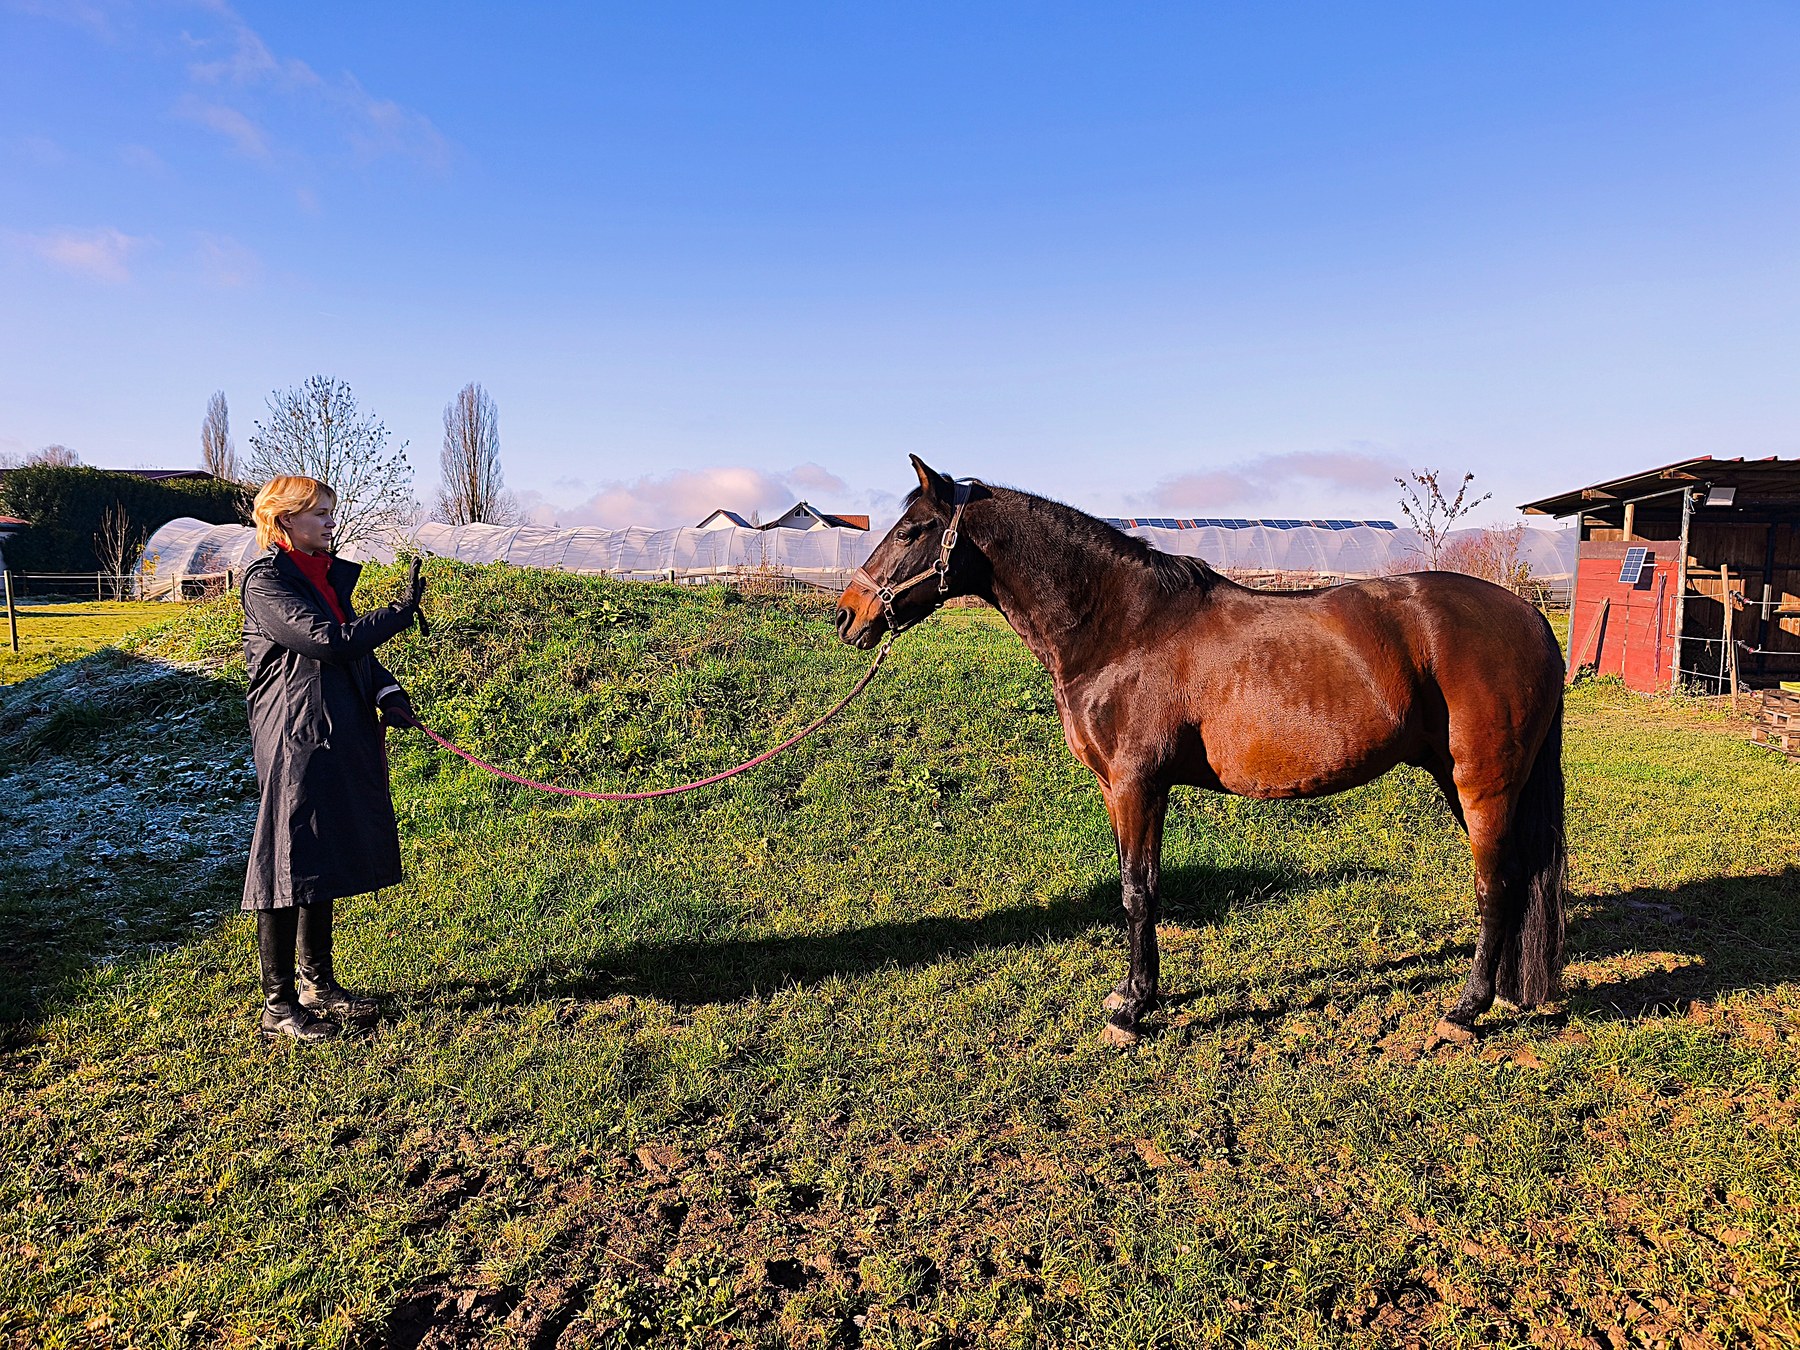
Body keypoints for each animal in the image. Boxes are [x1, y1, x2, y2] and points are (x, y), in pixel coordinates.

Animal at [836, 456, 1566, 1048]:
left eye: (911, 531)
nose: (847, 615)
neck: (1123, 629)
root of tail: (1532, 619)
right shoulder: (1132, 789)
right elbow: (1144, 886)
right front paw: (1139, 994)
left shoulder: (1136, 783)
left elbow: (1136, 892)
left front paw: (1131, 1014)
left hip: (1483, 782)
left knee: (1496, 884)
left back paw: (1465, 1010)